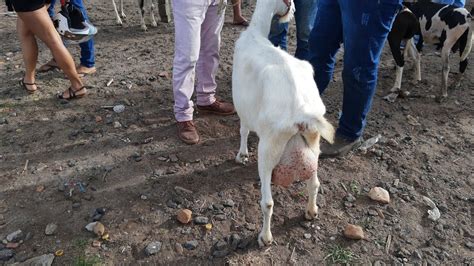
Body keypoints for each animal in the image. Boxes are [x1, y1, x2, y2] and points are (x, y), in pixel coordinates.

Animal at [231, 0, 336, 247]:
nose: (294, 11)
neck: (256, 33)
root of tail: (301, 113)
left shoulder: (241, 106)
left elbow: (243, 129)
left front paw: (241, 155)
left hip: (269, 148)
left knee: (267, 202)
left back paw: (265, 237)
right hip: (314, 145)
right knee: (314, 183)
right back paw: (311, 212)